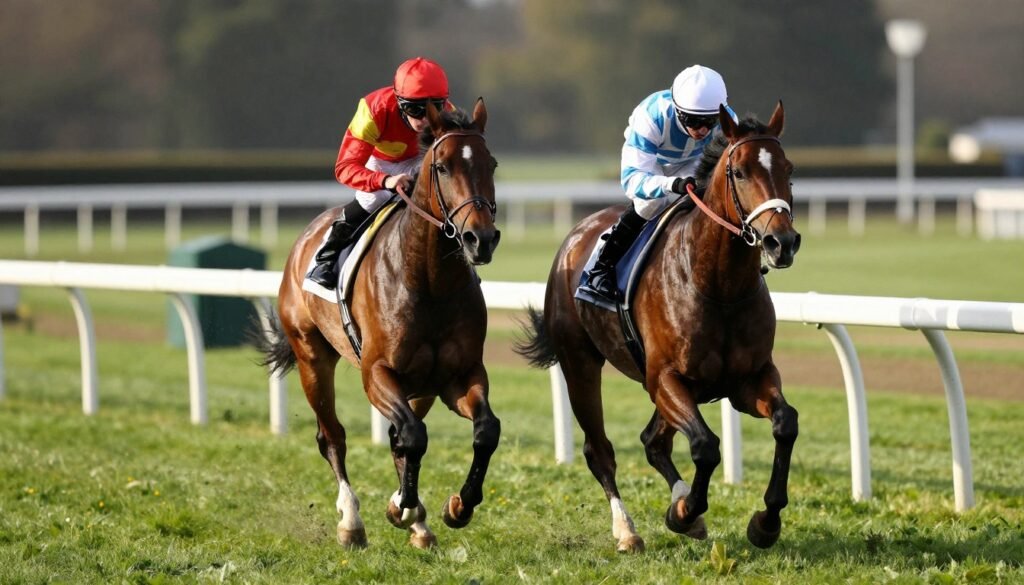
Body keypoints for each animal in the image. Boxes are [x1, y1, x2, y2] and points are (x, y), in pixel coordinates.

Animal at [261, 99, 501, 550]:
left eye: (491, 163)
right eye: (441, 166)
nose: (481, 239)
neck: (429, 282)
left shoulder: (459, 375)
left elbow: (484, 431)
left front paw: (457, 506)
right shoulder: (376, 373)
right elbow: (411, 437)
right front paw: (402, 506)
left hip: (420, 387)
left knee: (403, 433)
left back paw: (419, 524)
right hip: (311, 357)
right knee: (333, 437)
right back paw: (352, 522)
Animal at [516, 102, 801, 552]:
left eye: (788, 169)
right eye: (739, 172)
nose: (781, 242)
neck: (716, 285)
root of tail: (575, 236)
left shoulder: (748, 379)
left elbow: (785, 423)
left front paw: (766, 521)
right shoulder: (666, 377)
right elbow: (705, 446)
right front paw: (684, 512)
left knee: (653, 441)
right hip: (580, 364)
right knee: (599, 449)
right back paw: (627, 530)